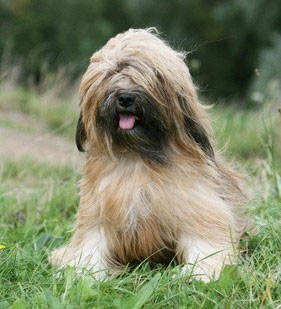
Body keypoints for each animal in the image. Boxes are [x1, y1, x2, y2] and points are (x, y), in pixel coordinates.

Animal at [49, 28, 246, 282]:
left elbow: (205, 238)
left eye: (152, 74)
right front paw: (84, 271)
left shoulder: (197, 204)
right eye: (113, 72)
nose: (125, 98)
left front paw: (201, 272)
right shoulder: (99, 207)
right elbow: (92, 242)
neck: (138, 155)